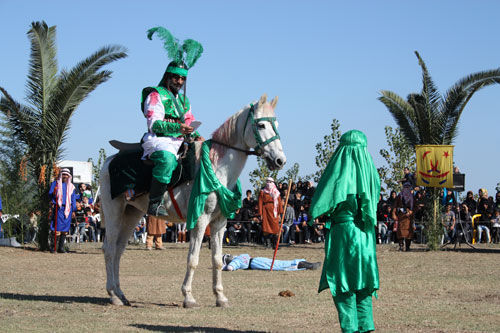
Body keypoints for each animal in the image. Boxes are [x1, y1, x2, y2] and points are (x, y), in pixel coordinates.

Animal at [99, 92, 286, 306]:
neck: (216, 166)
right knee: (110, 249)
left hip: (132, 214)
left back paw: (120, 293)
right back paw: (113, 295)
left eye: (276, 124)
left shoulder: (219, 222)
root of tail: (109, 161)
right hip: (114, 212)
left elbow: (217, 259)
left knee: (119, 250)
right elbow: (193, 259)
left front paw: (220, 297)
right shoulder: (200, 219)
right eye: (261, 125)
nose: (280, 160)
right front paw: (188, 296)